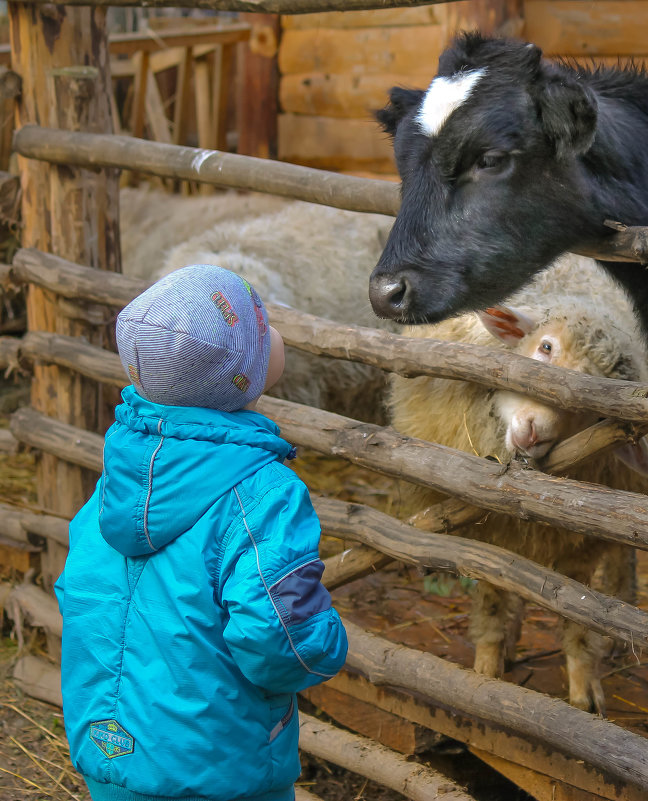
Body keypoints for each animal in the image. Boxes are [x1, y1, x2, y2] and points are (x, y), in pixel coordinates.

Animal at [390, 253, 648, 708]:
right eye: (545, 347)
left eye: (595, 409)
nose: (534, 431)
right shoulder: (488, 532)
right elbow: (494, 600)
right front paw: (486, 668)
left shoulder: (578, 545)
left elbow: (580, 617)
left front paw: (585, 692)